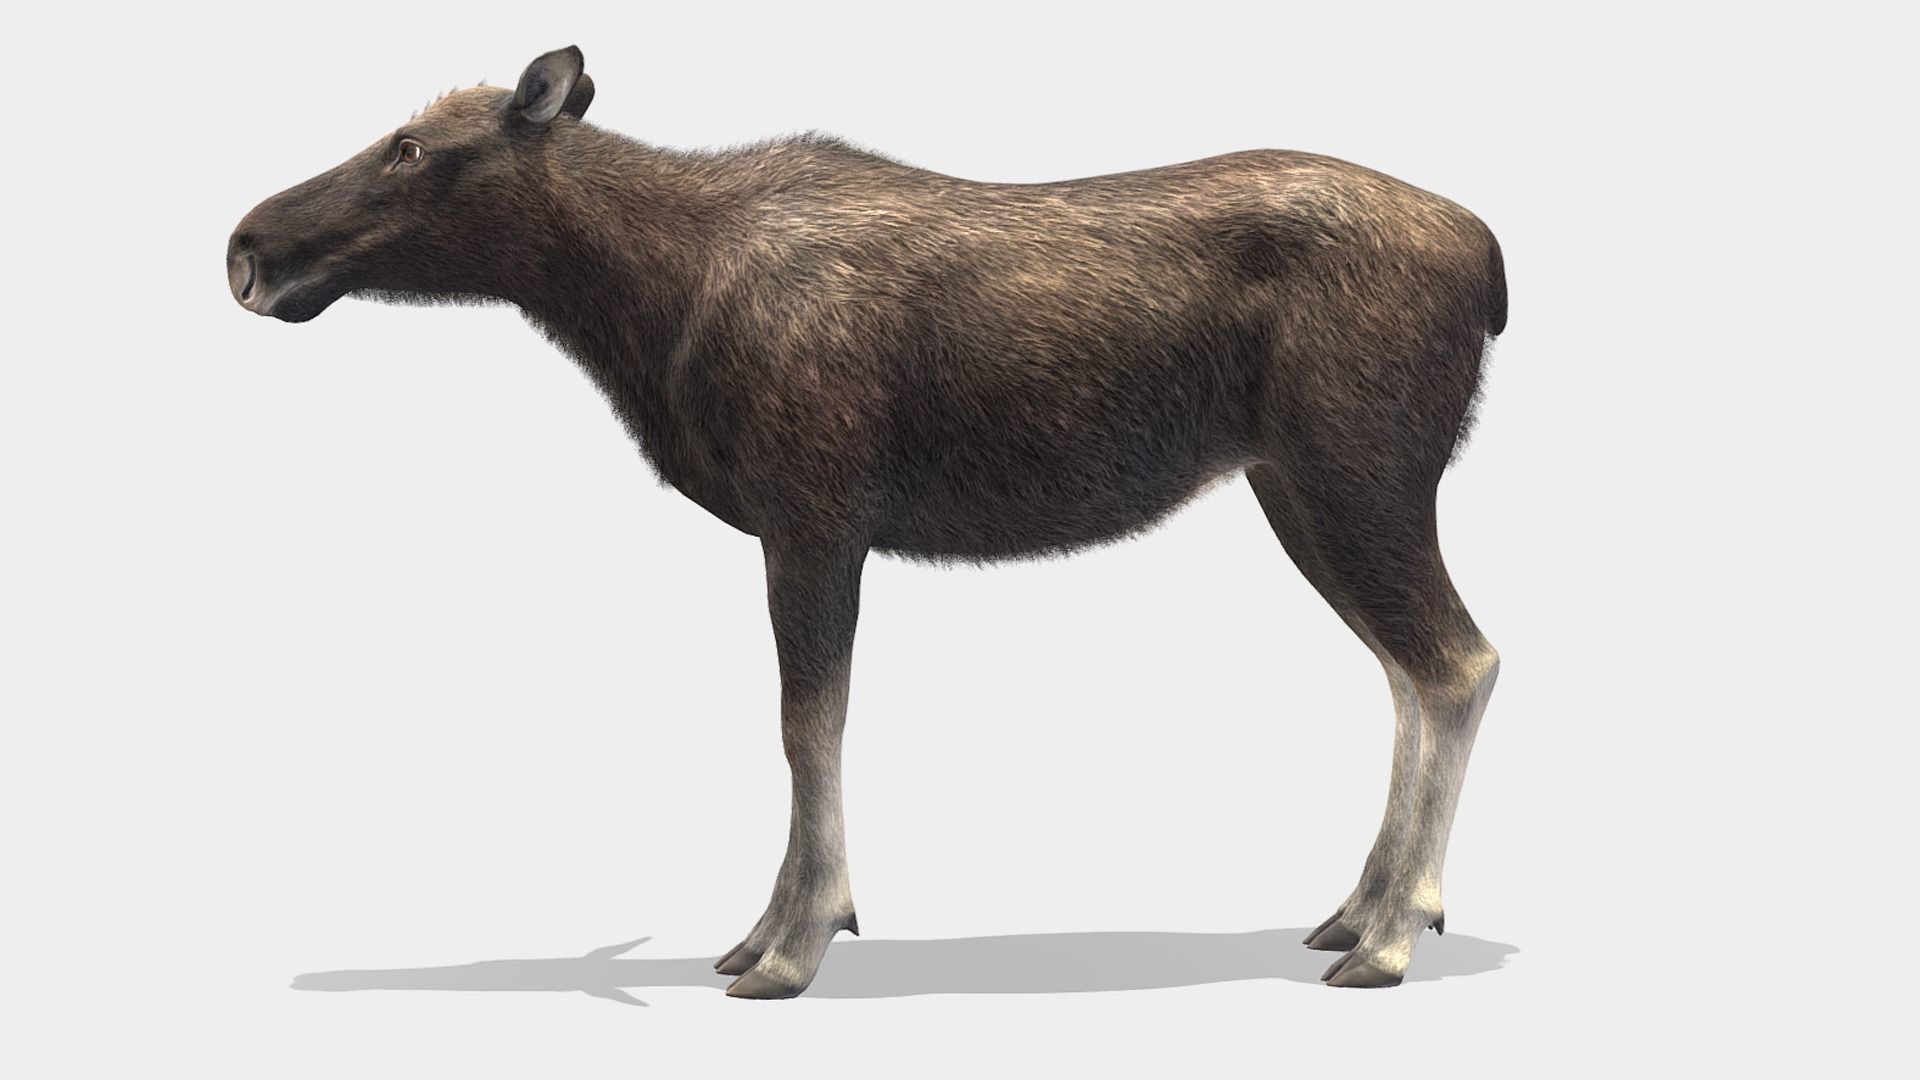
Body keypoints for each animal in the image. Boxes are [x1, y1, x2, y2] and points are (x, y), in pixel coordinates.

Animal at [228, 45, 1509, 999]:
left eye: (411, 149)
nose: (247, 249)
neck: (645, 307)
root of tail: (1493, 266)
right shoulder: (808, 526)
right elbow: (809, 728)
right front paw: (768, 932)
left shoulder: (814, 511)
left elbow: (808, 726)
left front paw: (791, 945)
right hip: (1297, 486)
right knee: (1406, 669)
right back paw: (1354, 911)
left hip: (1359, 470)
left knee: (1459, 661)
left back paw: (1395, 934)